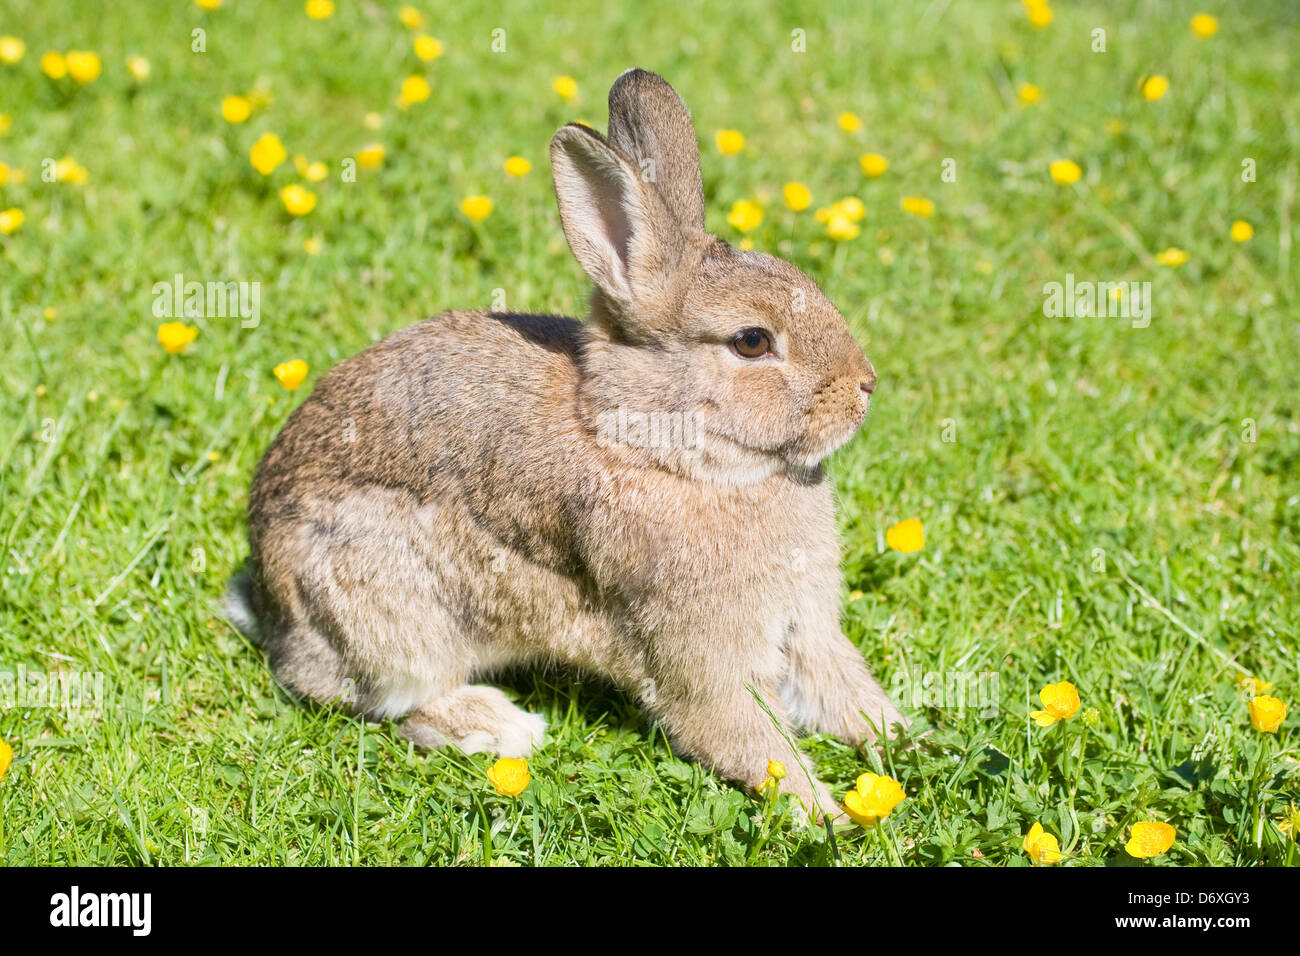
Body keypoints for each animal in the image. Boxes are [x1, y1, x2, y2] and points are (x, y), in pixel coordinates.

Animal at [226, 68, 906, 820]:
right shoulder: (699, 657)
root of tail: (268, 604)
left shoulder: (806, 625)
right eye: (752, 342)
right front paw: (830, 815)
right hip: (387, 611)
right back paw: (504, 726)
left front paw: (903, 743)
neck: (658, 449)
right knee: (395, 701)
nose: (865, 386)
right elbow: (746, 736)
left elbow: (841, 686)